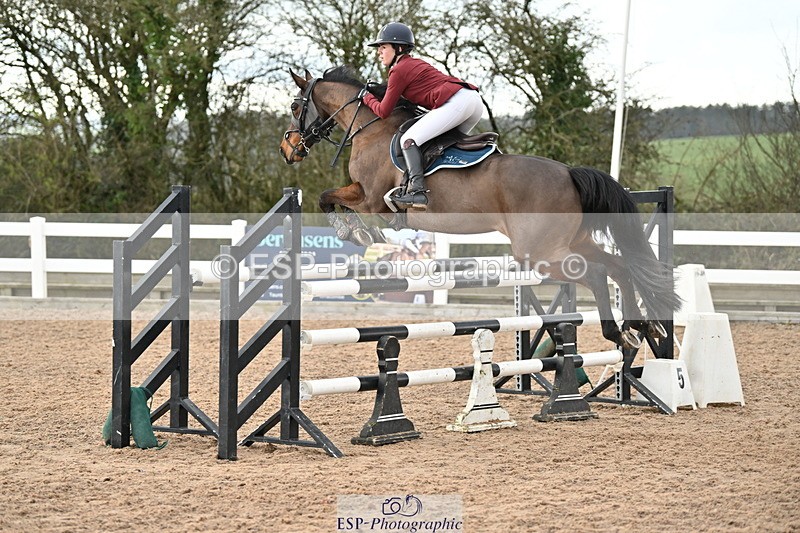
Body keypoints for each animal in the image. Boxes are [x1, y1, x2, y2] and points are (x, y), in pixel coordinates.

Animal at [279, 66, 681, 349]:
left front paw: (355, 231)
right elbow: (330, 197)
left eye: (296, 106)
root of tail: (569, 173)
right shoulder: (367, 197)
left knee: (597, 273)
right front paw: (359, 231)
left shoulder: (370, 198)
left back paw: (618, 332)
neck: (370, 126)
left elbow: (327, 196)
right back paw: (641, 326)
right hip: (574, 241)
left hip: (540, 252)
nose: (287, 150)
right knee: (620, 268)